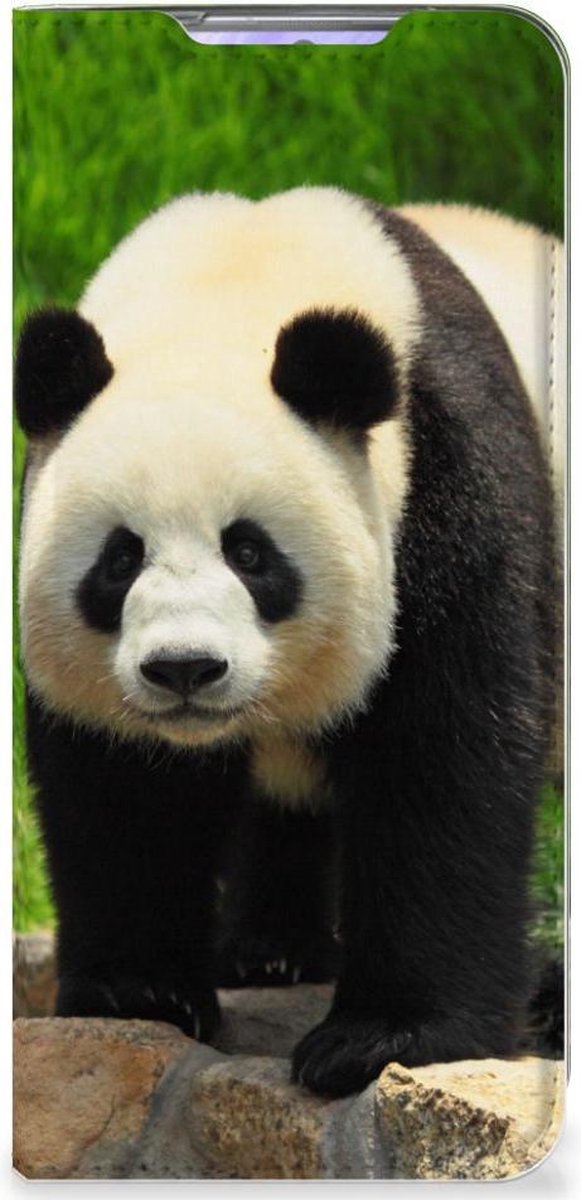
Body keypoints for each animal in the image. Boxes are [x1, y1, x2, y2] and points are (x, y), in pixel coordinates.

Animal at [15, 187, 559, 1098]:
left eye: (250, 552)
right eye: (120, 559)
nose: (185, 669)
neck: (234, 279)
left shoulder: (448, 480)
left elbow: (443, 757)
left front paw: (384, 1038)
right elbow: (124, 788)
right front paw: (140, 991)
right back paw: (269, 950)